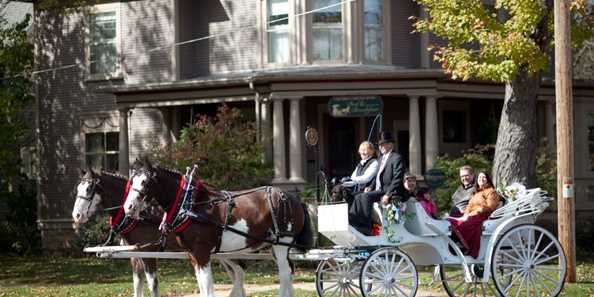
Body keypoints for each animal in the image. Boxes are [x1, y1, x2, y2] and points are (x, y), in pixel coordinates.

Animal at [72, 169, 247, 296]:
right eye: (78, 188)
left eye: (89, 189)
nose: (76, 216)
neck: (140, 216)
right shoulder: (135, 255)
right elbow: (137, 285)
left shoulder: (148, 253)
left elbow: (152, 285)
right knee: (237, 272)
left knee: (238, 272)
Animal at [122, 158, 312, 297]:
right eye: (132, 181)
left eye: (145, 182)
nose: (128, 207)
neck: (191, 204)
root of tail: (292, 198)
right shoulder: (193, 255)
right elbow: (202, 286)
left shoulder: (202, 253)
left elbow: (207, 288)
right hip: (274, 246)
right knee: (289, 272)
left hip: (281, 245)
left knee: (284, 274)